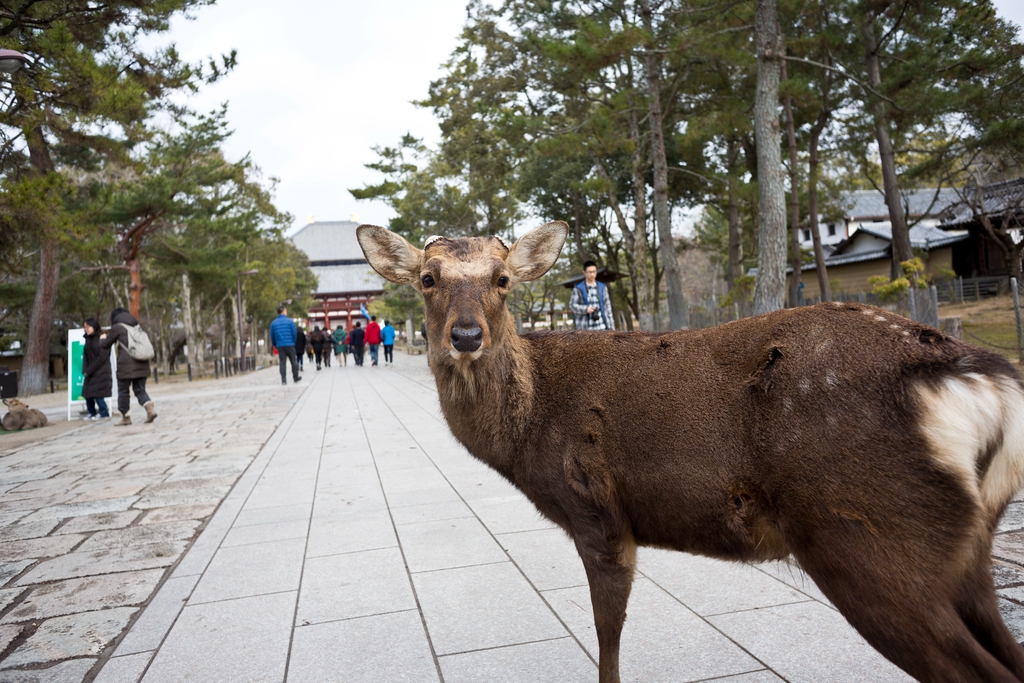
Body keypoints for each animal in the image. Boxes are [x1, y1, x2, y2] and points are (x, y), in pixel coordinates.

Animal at [356, 220, 1024, 683]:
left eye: (501, 280)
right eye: (427, 279)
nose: (467, 335)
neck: (528, 435)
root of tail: (984, 380)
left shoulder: (598, 512)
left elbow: (607, 636)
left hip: (867, 533)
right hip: (964, 554)